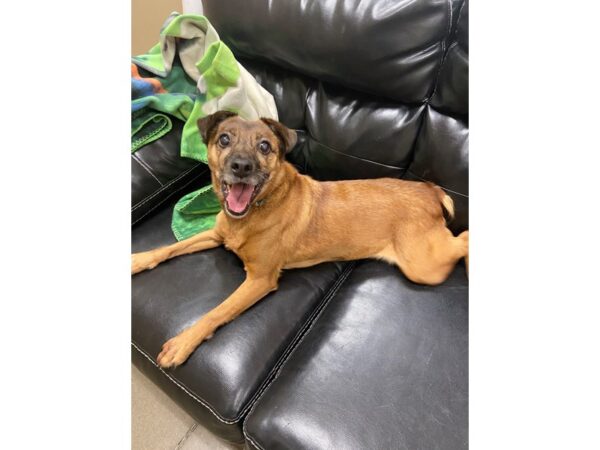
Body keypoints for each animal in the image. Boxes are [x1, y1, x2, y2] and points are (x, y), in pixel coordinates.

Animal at [131, 110, 468, 368]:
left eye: (265, 147)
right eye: (224, 139)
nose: (241, 167)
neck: (252, 213)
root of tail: (429, 190)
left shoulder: (259, 280)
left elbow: (216, 312)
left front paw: (183, 342)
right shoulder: (216, 235)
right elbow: (169, 248)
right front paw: (138, 259)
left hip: (422, 266)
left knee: (462, 239)